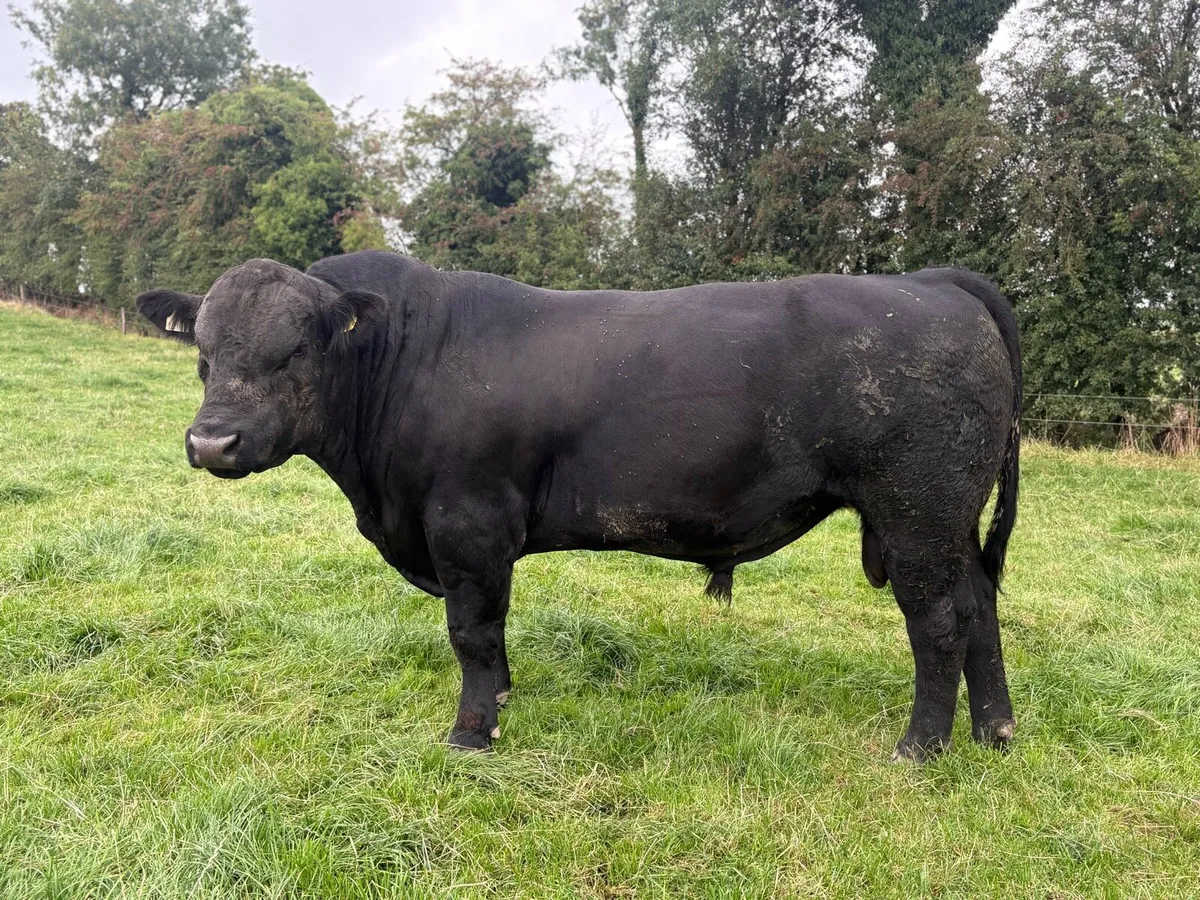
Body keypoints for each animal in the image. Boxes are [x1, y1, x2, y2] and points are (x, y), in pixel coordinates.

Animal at [137, 250, 1021, 761]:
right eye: (203, 353)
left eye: (294, 350)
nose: (211, 442)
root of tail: (930, 282)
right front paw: (497, 708)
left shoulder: (468, 526)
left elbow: (473, 636)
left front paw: (471, 733)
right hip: (949, 521)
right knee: (980, 605)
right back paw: (995, 732)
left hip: (916, 512)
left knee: (939, 623)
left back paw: (921, 747)